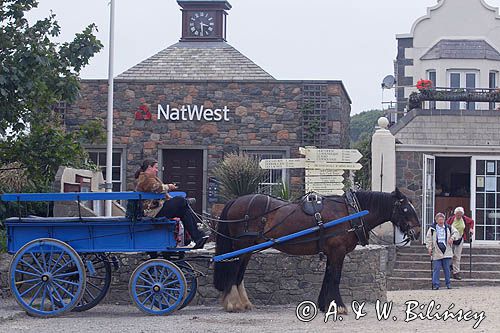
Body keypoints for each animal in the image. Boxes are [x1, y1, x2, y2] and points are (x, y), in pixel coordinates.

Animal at [213, 188, 420, 312]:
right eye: (406, 209)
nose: (417, 232)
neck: (350, 212)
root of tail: (235, 201)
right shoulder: (338, 251)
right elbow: (335, 278)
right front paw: (339, 306)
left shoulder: (332, 252)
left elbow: (327, 277)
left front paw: (325, 305)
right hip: (242, 246)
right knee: (233, 270)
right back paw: (232, 303)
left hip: (248, 248)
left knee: (239, 273)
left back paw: (243, 302)